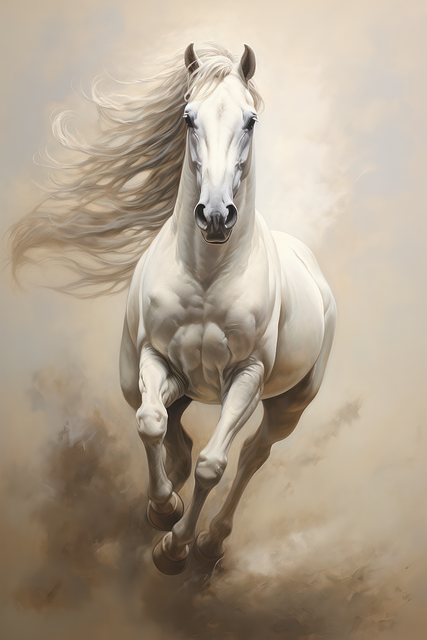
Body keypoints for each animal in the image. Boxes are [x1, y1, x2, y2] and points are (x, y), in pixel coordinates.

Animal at [9, 42, 336, 576]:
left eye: (250, 120)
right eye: (187, 117)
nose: (216, 216)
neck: (207, 277)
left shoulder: (247, 376)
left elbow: (212, 465)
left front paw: (175, 547)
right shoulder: (156, 360)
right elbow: (152, 424)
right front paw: (163, 511)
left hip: (289, 403)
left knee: (251, 457)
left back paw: (211, 541)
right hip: (155, 384)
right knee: (177, 439)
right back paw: (162, 509)